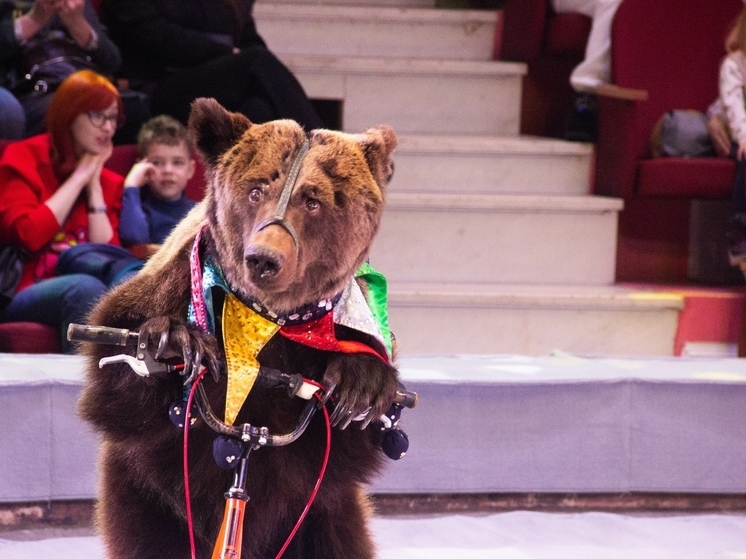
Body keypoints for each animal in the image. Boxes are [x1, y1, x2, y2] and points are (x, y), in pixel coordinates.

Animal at [77, 98, 402, 559]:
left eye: (313, 201)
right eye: (256, 190)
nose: (263, 258)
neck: (269, 321)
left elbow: (353, 439)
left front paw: (362, 381)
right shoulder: (170, 283)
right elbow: (116, 377)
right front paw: (170, 341)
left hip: (323, 518)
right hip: (146, 498)